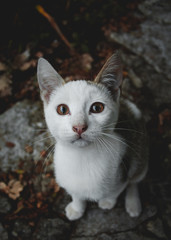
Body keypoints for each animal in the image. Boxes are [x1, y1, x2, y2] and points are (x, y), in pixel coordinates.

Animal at [36, 52, 148, 219]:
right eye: (62, 109)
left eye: (97, 108)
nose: (79, 127)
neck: (82, 157)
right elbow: (76, 193)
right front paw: (77, 207)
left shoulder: (122, 168)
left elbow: (115, 191)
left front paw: (107, 202)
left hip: (141, 152)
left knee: (134, 179)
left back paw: (132, 202)